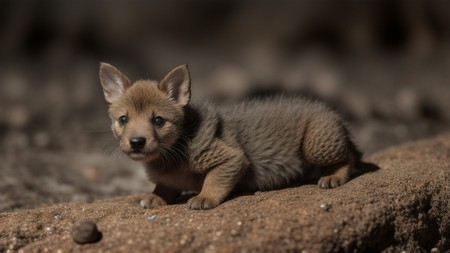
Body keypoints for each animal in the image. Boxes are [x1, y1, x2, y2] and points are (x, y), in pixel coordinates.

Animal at [98, 62, 362, 210]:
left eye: (158, 121)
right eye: (123, 119)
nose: (136, 142)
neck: (174, 150)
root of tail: (332, 113)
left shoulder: (232, 159)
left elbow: (213, 180)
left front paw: (204, 198)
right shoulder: (169, 178)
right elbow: (164, 187)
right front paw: (154, 198)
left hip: (316, 145)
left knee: (352, 155)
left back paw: (333, 176)